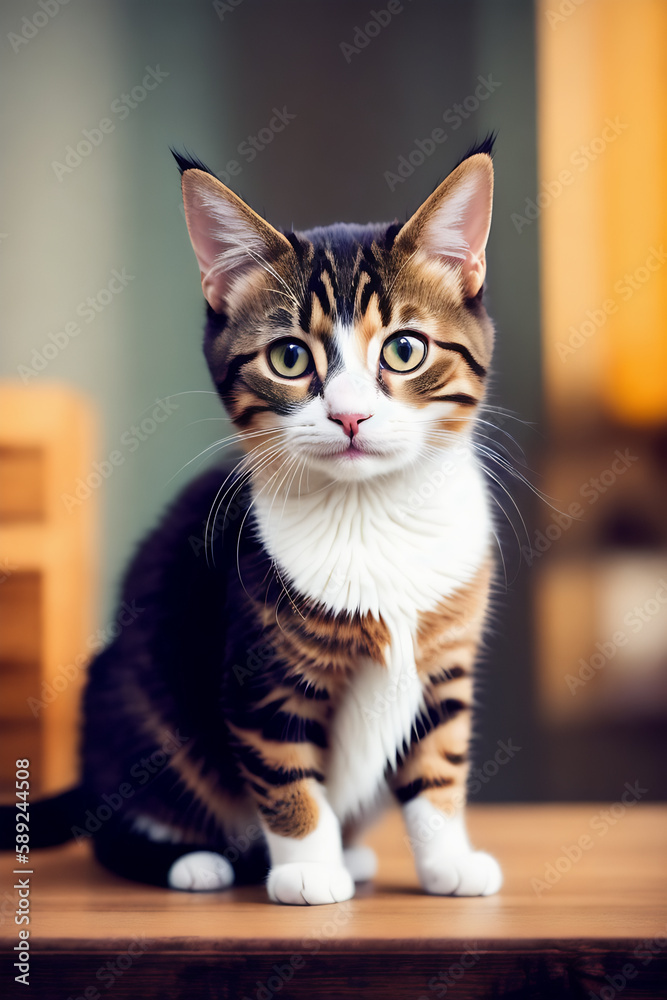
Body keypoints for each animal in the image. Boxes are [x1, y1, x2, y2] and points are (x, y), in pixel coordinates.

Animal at [1, 141, 500, 908]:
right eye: (289, 357)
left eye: (405, 349)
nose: (350, 415)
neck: (368, 511)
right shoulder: (259, 669)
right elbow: (285, 771)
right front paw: (306, 870)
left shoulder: (445, 659)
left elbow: (438, 763)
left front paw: (448, 860)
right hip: (131, 701)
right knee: (115, 823)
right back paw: (194, 862)